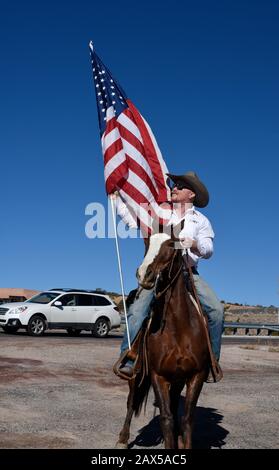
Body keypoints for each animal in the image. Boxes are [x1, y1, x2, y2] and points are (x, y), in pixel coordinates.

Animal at [116, 233, 210, 450]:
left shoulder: (196, 375)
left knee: (174, 407)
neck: (179, 329)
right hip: (136, 374)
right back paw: (122, 439)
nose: (144, 274)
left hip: (177, 380)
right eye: (147, 243)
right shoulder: (158, 375)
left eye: (170, 244)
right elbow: (166, 418)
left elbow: (186, 418)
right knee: (131, 402)